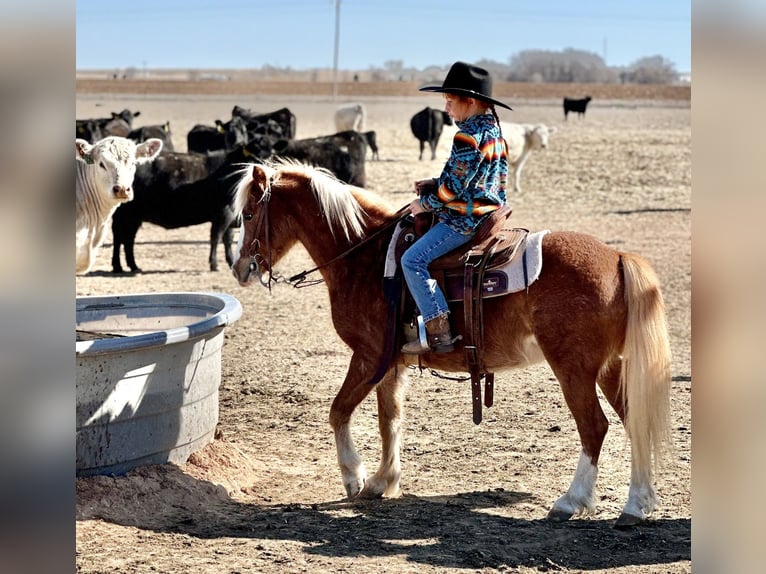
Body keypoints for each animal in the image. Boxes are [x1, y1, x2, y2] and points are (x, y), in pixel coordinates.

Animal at [230, 158, 672, 527]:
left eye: (249, 214)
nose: (239, 269)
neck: (364, 258)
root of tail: (617, 257)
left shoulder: (368, 356)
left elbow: (339, 411)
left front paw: (354, 477)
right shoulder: (392, 364)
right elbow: (390, 421)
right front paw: (383, 480)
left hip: (574, 369)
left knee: (594, 427)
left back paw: (571, 501)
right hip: (611, 367)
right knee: (633, 420)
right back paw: (637, 505)